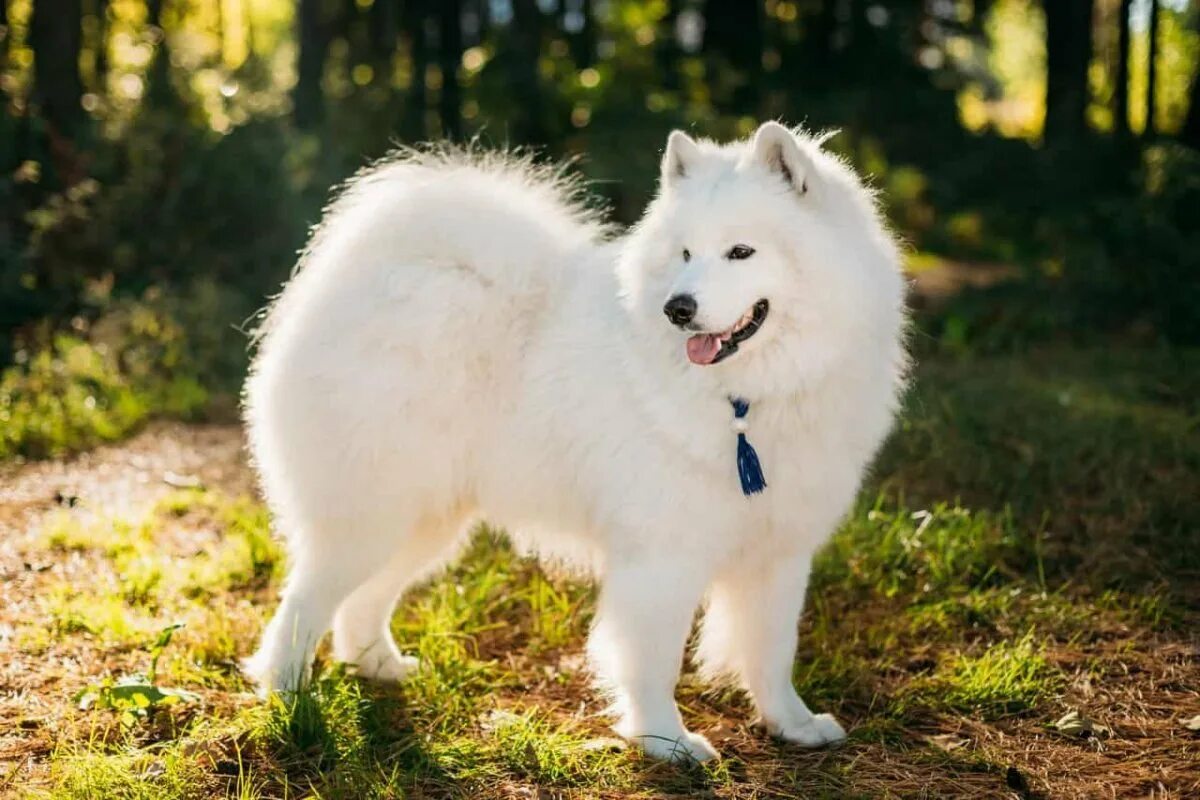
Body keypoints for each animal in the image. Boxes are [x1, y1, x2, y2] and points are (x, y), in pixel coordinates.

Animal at [243, 122, 902, 762]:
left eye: (741, 251)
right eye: (686, 254)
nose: (678, 308)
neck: (746, 401)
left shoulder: (779, 549)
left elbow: (771, 651)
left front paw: (793, 725)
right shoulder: (662, 553)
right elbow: (654, 657)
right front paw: (666, 740)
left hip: (425, 517)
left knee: (364, 600)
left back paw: (377, 664)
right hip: (373, 510)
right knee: (302, 603)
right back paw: (289, 695)